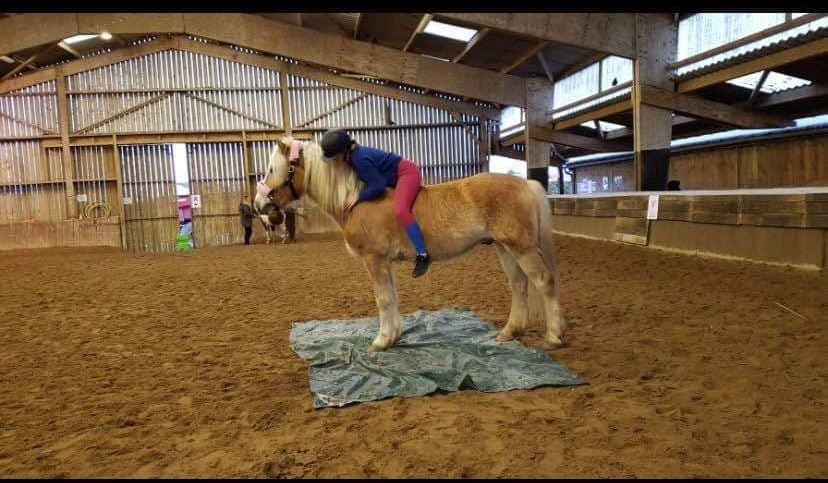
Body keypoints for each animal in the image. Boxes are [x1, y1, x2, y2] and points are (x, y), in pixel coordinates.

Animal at [254, 136, 566, 352]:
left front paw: (381, 341)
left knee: (544, 281)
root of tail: (526, 184)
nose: (259, 205)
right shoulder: (384, 263)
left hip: (522, 248)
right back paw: (509, 332)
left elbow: (382, 299)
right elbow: (391, 298)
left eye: (272, 169)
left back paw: (553, 336)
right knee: (519, 285)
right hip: (505, 248)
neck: (355, 199)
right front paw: (394, 336)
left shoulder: (374, 260)